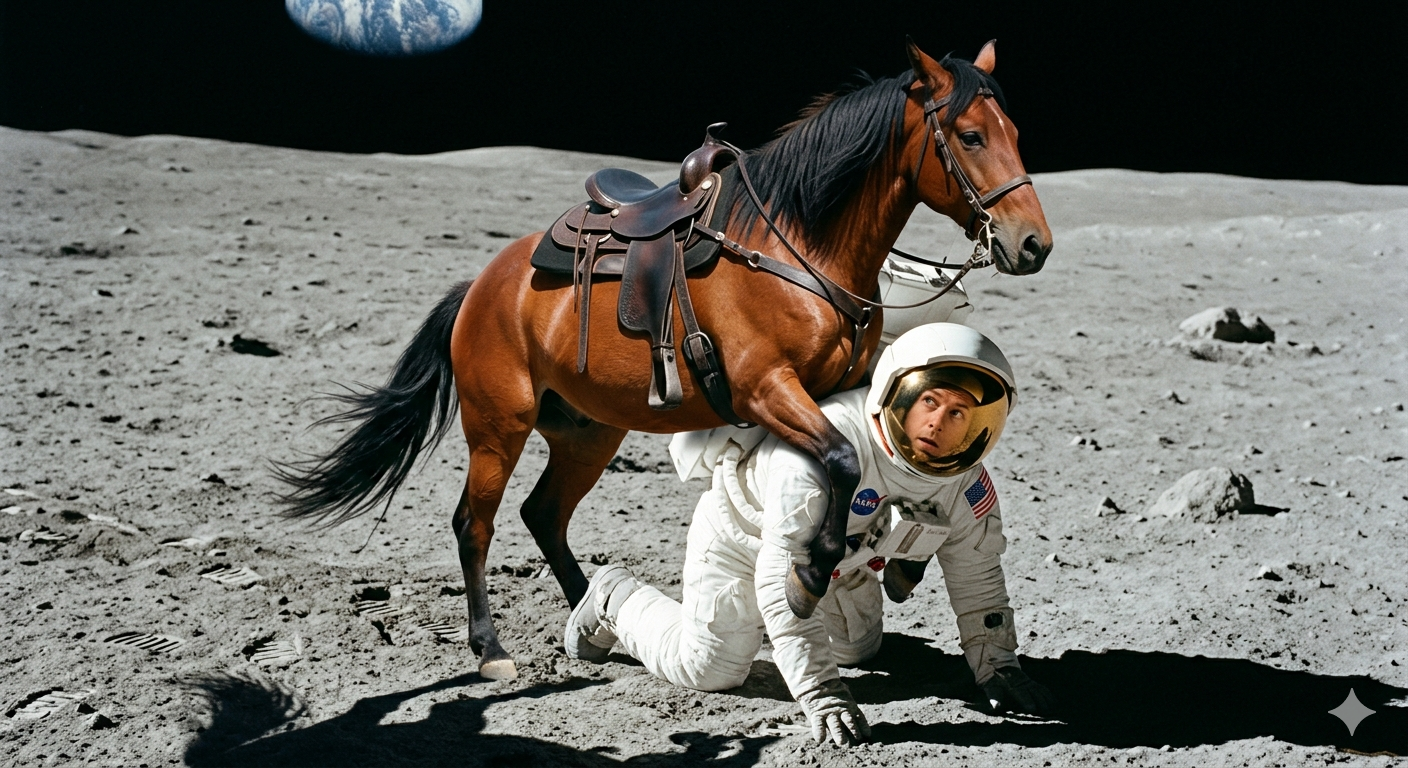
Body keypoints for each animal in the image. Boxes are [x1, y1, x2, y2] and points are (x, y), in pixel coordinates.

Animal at [275, 40, 1053, 680]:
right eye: (971, 135)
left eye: (1016, 134)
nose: (1032, 244)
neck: (799, 244)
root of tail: (482, 288)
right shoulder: (768, 389)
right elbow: (838, 460)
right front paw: (810, 576)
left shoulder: (845, 387)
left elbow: (865, 462)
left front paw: (894, 568)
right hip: (498, 427)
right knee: (477, 522)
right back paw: (490, 648)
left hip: (588, 431)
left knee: (542, 515)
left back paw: (595, 616)